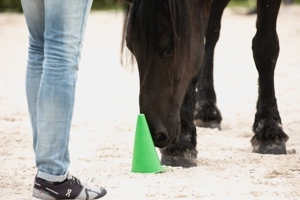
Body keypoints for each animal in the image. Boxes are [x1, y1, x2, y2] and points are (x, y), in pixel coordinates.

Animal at [119, 0, 288, 169]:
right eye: (131, 47)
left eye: (170, 46)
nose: (154, 132)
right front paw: (182, 144)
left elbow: (265, 47)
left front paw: (269, 130)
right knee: (211, 35)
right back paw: (207, 109)